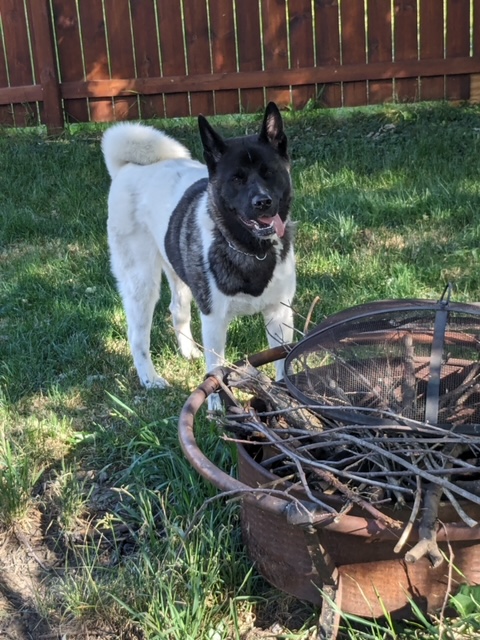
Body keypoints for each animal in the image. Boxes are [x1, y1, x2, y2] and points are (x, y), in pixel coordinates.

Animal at [103, 104, 294, 404]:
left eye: (269, 172)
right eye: (236, 178)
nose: (262, 202)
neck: (252, 250)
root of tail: (128, 167)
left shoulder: (280, 314)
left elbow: (282, 361)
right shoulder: (214, 321)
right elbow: (216, 371)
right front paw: (216, 406)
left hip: (178, 269)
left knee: (177, 309)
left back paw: (189, 352)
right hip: (141, 282)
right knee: (137, 334)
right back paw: (150, 378)